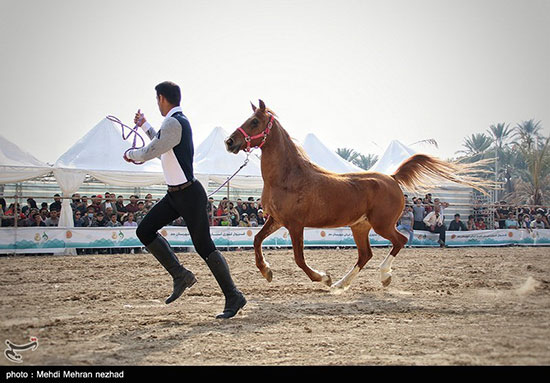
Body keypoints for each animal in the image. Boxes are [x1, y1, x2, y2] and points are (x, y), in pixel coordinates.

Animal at [224, 100, 488, 292]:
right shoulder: (276, 219)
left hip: (381, 225)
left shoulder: (295, 224)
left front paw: (323, 278)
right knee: (365, 254)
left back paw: (382, 276)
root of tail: (392, 178)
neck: (288, 177)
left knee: (399, 241)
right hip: (360, 226)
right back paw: (343, 284)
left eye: (254, 121)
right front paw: (266, 271)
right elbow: (257, 240)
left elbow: (299, 259)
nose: (229, 142)